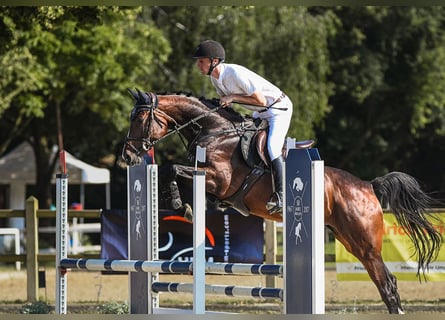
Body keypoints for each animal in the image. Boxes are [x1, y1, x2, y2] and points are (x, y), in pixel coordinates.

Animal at [120, 89, 440, 314]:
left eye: (139, 119)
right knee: (385, 283)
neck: (214, 131)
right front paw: (185, 206)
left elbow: (173, 169)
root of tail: (367, 186)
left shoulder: (219, 179)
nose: (128, 156)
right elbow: (177, 174)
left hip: (365, 244)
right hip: (348, 239)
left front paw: (180, 205)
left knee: (387, 284)